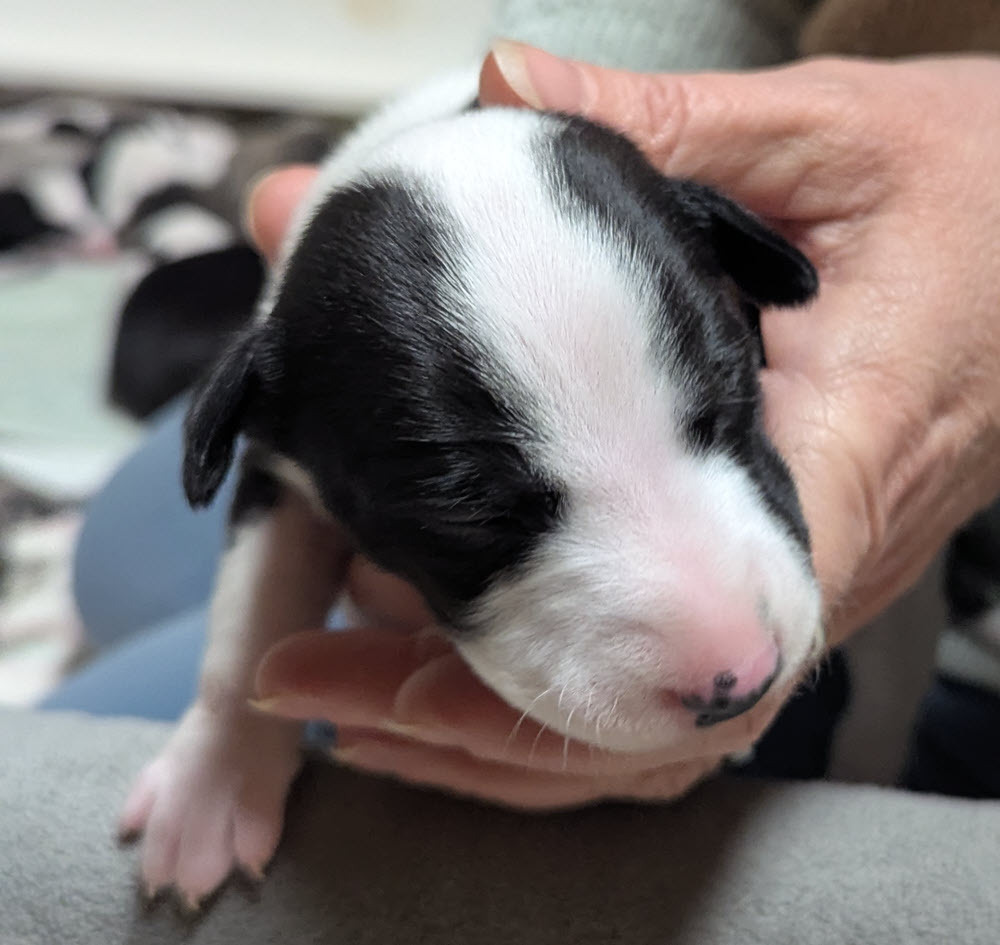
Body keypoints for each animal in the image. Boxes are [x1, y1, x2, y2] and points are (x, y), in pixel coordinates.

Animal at [120, 67, 822, 906]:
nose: (741, 678)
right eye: (464, 518)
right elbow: (249, 613)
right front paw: (211, 785)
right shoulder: (275, 462)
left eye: (737, 393)